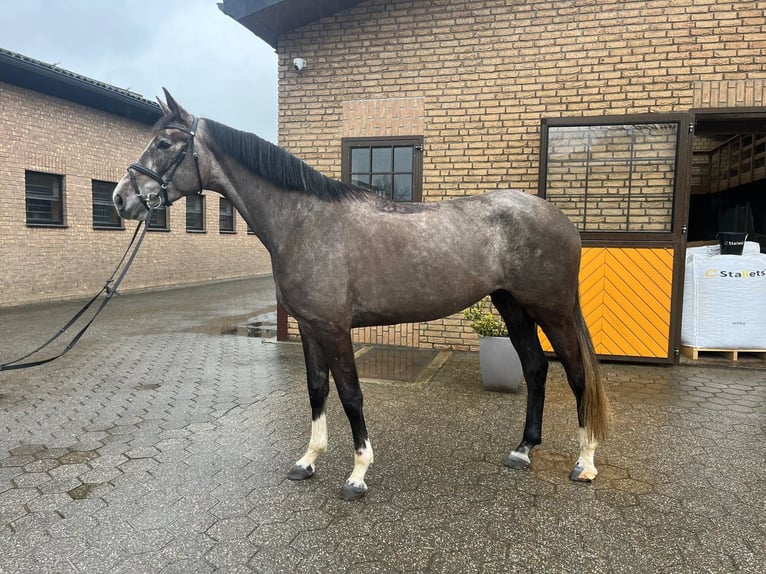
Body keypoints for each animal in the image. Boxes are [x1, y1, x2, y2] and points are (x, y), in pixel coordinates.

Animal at [113, 90, 608, 500]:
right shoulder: (310, 327)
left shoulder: (335, 328)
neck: (306, 222)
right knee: (536, 368)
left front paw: (357, 474)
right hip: (512, 305)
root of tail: (561, 221)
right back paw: (523, 449)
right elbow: (316, 389)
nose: (121, 199)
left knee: (576, 373)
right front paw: (308, 461)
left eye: (164, 144)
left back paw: (584, 463)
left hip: (551, 309)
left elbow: (351, 394)